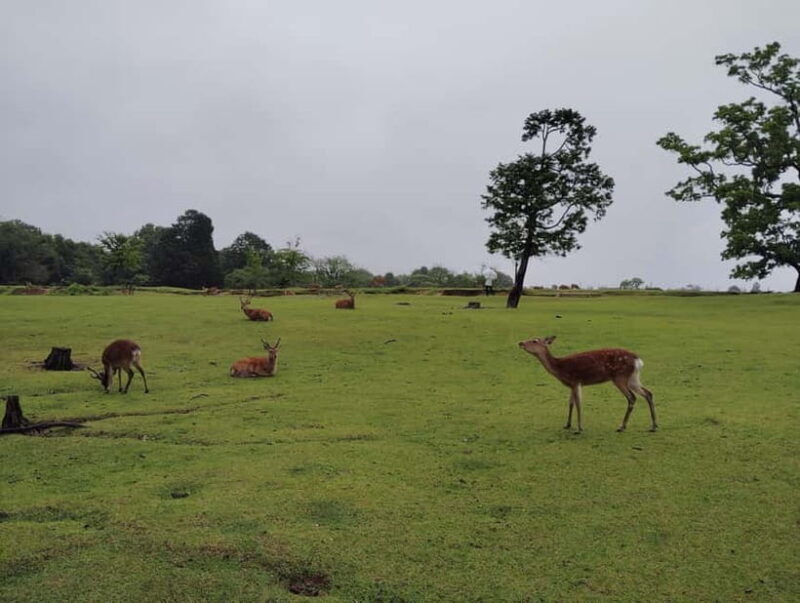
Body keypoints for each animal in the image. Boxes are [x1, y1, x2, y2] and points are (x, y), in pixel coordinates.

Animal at [518, 336, 657, 433]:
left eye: (535, 340)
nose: (520, 343)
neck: (560, 368)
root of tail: (638, 361)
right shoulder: (571, 385)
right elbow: (571, 403)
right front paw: (567, 425)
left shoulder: (576, 381)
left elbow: (578, 404)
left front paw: (579, 428)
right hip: (633, 378)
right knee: (648, 393)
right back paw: (654, 426)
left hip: (620, 377)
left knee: (632, 397)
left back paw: (622, 427)